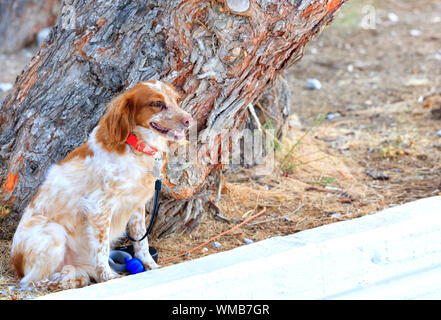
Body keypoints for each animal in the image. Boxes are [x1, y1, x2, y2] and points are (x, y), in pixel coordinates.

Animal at [10, 80, 192, 290]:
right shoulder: (99, 207)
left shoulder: (137, 204)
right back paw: (69, 281)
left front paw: (151, 266)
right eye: (157, 103)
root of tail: (16, 263)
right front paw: (108, 277)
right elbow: (102, 248)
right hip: (54, 233)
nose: (189, 120)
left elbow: (142, 242)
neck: (136, 148)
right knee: (31, 282)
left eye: (176, 100)